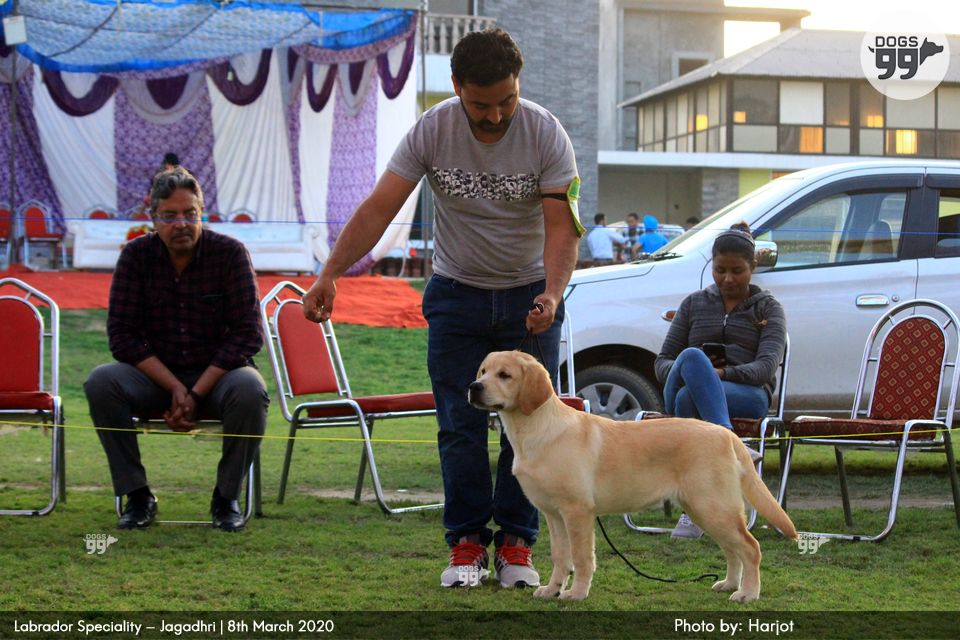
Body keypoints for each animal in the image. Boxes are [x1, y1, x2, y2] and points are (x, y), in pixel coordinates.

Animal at [468, 350, 797, 603]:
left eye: (505, 375)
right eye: (483, 370)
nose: (474, 386)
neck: (534, 429)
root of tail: (727, 434)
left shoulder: (578, 512)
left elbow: (582, 559)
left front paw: (576, 594)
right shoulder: (553, 514)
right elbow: (561, 557)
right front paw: (551, 589)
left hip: (713, 507)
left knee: (750, 548)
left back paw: (747, 594)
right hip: (705, 510)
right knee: (733, 550)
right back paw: (729, 584)